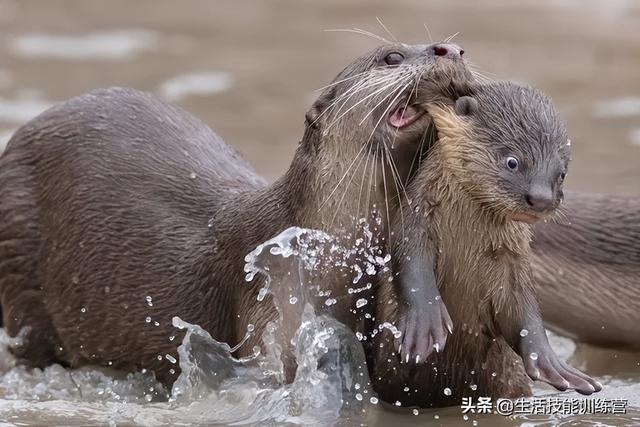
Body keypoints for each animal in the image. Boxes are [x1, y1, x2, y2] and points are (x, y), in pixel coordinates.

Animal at [372, 81, 604, 408]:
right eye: (512, 161)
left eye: (561, 173)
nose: (542, 198)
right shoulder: (417, 219)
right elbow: (410, 263)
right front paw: (425, 325)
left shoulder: (512, 259)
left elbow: (523, 310)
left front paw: (551, 363)